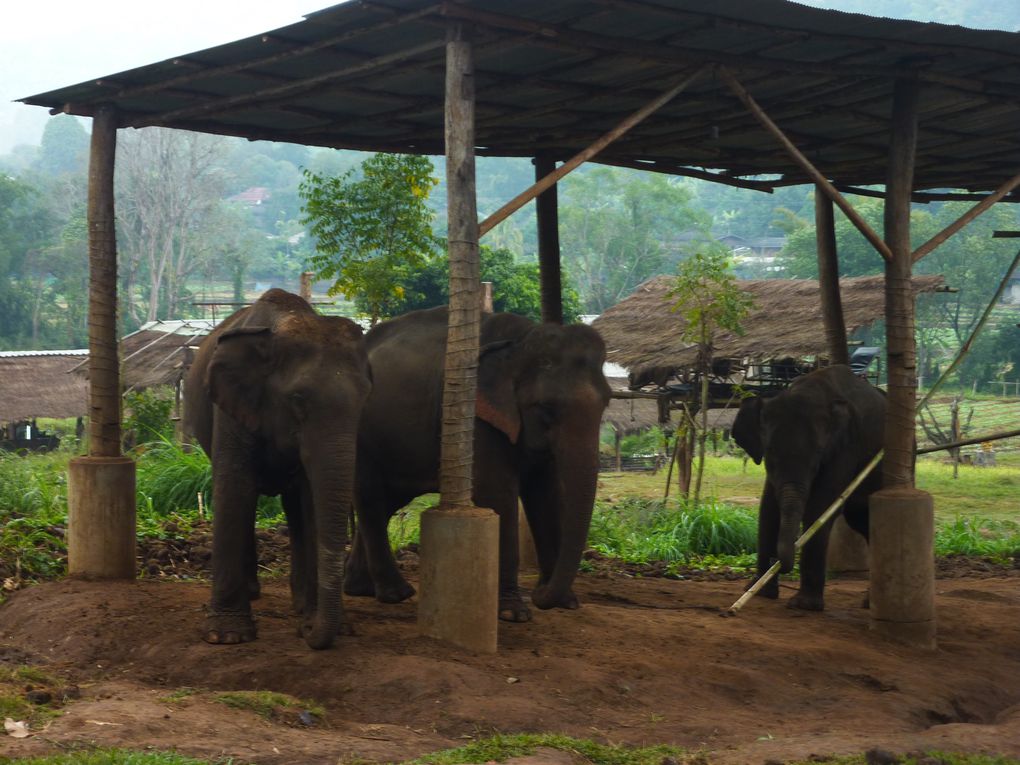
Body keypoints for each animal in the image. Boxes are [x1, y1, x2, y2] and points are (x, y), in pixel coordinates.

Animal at [183, 289, 371, 648]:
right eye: (297, 399)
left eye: (365, 400)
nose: (307, 634)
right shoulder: (230, 411)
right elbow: (234, 488)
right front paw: (226, 636)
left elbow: (311, 500)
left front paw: (318, 621)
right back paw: (254, 595)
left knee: (294, 507)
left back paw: (298, 602)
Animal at [344, 306, 612, 624]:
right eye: (546, 407)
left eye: (607, 403)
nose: (539, 596)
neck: (520, 342)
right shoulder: (475, 417)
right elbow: (498, 492)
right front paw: (513, 613)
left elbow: (545, 493)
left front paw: (566, 603)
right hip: (358, 433)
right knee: (370, 496)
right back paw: (396, 594)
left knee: (387, 501)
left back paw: (360, 589)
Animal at [734, 365, 885, 612]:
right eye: (769, 454)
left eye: (817, 457)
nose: (777, 563)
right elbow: (768, 509)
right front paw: (760, 592)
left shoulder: (846, 446)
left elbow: (819, 507)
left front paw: (803, 605)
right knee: (863, 521)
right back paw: (869, 602)